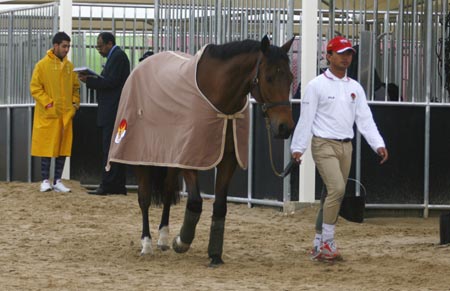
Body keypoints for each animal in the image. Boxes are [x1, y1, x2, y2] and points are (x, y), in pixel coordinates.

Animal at [112, 35, 294, 268]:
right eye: (269, 78)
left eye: (290, 77)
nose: (285, 127)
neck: (219, 100)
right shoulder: (191, 158)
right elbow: (196, 202)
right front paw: (181, 242)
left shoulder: (227, 159)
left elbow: (220, 206)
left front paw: (215, 255)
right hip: (141, 156)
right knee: (144, 198)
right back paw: (147, 244)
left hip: (170, 157)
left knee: (168, 191)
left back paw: (163, 238)